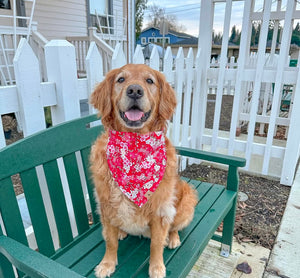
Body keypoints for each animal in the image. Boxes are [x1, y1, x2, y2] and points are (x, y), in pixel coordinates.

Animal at [89, 64, 197, 278]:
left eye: (149, 81)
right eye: (121, 80)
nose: (134, 90)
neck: (134, 146)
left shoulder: (160, 211)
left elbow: (156, 244)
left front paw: (156, 268)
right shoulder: (105, 206)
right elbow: (110, 241)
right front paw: (107, 264)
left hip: (187, 198)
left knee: (175, 227)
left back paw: (173, 239)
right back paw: (122, 231)